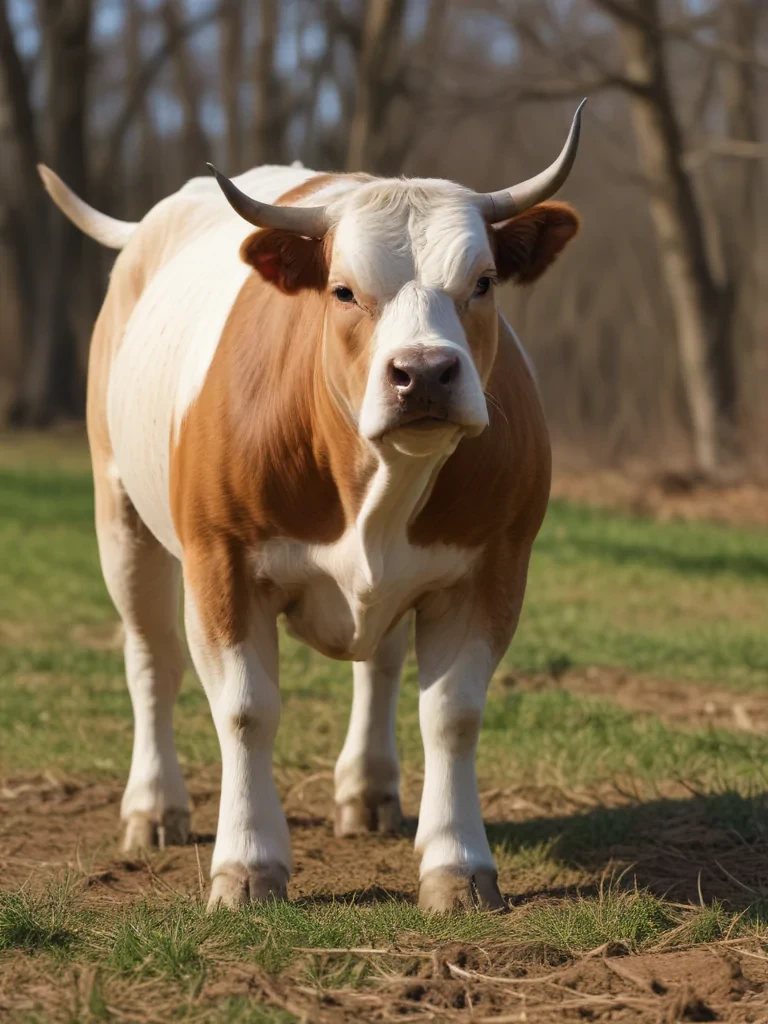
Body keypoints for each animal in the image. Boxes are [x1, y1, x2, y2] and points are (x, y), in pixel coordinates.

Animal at [39, 103, 584, 912]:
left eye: (483, 282)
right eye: (343, 290)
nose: (424, 373)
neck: (380, 482)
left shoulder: (492, 566)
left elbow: (452, 713)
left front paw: (457, 865)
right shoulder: (221, 563)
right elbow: (245, 708)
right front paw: (247, 864)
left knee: (379, 666)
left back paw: (369, 790)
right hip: (122, 515)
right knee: (152, 660)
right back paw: (155, 805)